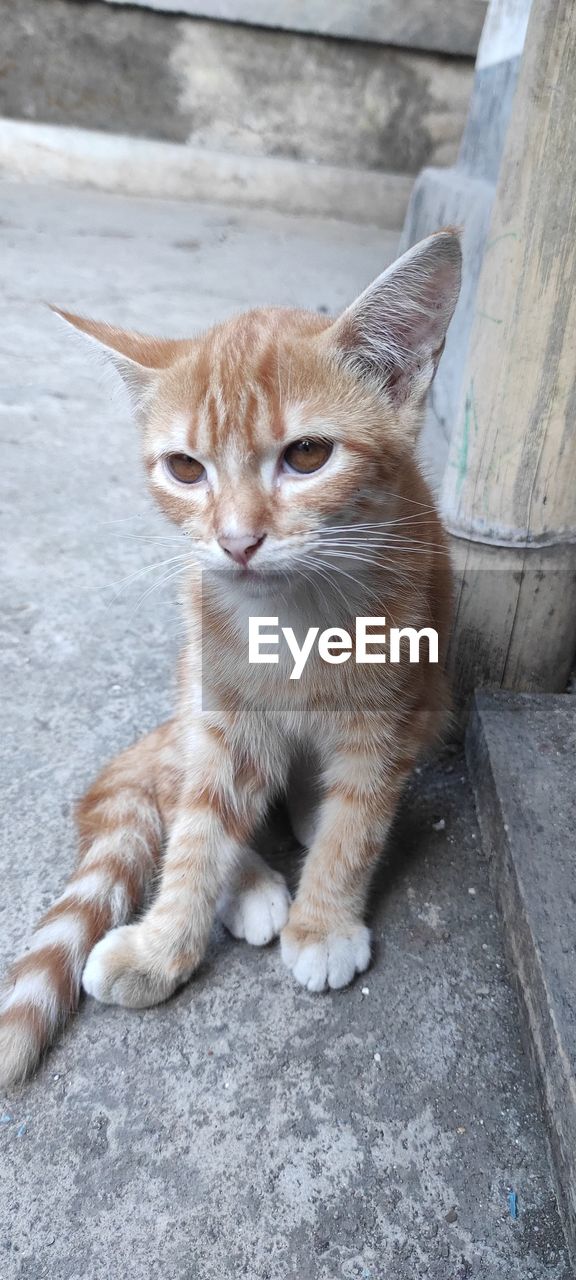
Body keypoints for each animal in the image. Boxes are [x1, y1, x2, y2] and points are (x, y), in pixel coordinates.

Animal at [0, 227, 458, 1080]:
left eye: (307, 456)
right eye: (186, 468)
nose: (238, 541)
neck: (295, 619)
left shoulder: (392, 714)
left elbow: (355, 825)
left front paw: (323, 922)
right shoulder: (221, 704)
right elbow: (199, 827)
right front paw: (163, 944)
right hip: (195, 694)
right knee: (184, 787)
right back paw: (250, 885)